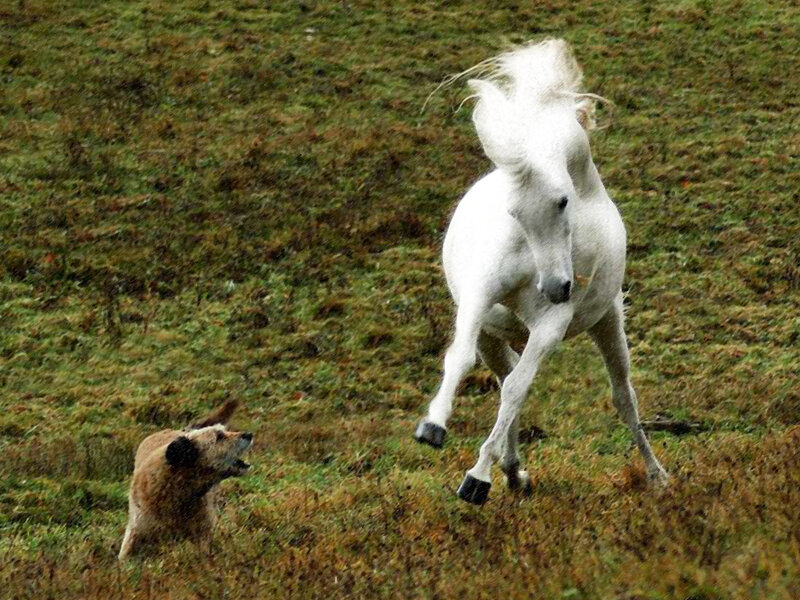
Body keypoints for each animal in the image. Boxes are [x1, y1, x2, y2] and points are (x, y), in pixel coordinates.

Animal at [414, 39, 669, 505]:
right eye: (513, 211)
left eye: (563, 201)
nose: (556, 287)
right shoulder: (477, 299)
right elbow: (460, 357)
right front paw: (433, 426)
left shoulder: (552, 322)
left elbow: (519, 388)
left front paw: (476, 477)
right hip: (495, 336)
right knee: (504, 377)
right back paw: (513, 472)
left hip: (606, 320)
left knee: (622, 398)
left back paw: (655, 474)